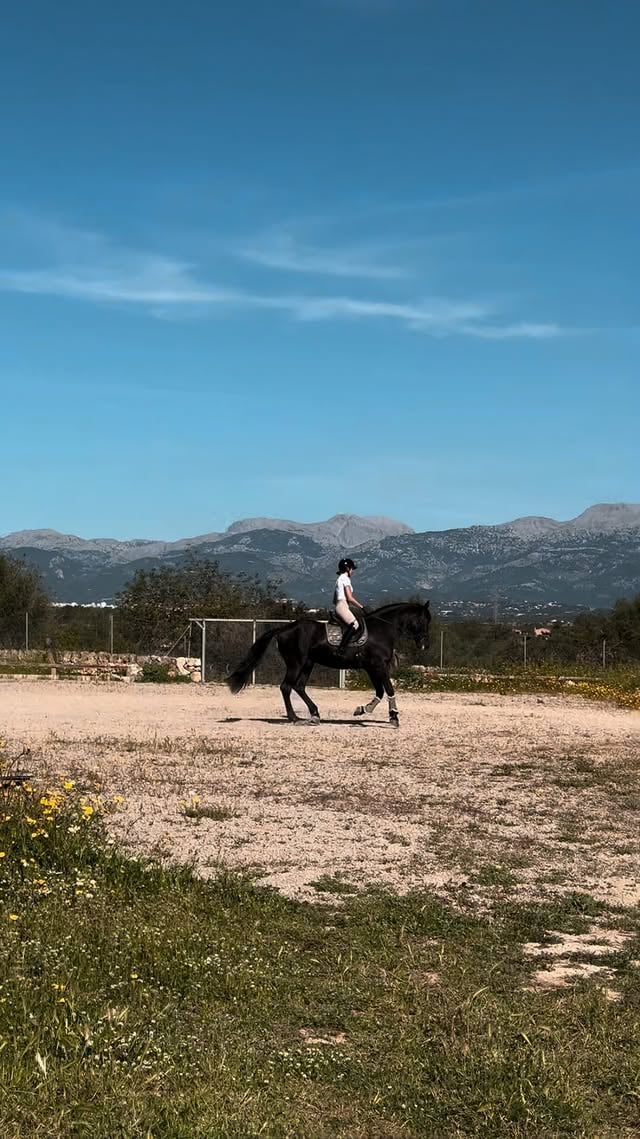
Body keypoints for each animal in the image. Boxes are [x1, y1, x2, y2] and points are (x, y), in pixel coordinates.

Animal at [226, 600, 431, 727]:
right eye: (424, 620)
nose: (424, 645)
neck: (382, 630)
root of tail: (285, 628)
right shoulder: (378, 666)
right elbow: (389, 689)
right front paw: (394, 717)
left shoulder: (372, 667)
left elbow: (380, 691)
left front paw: (362, 710)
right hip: (296, 663)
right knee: (286, 687)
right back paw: (295, 718)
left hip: (308, 663)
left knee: (299, 687)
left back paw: (315, 714)